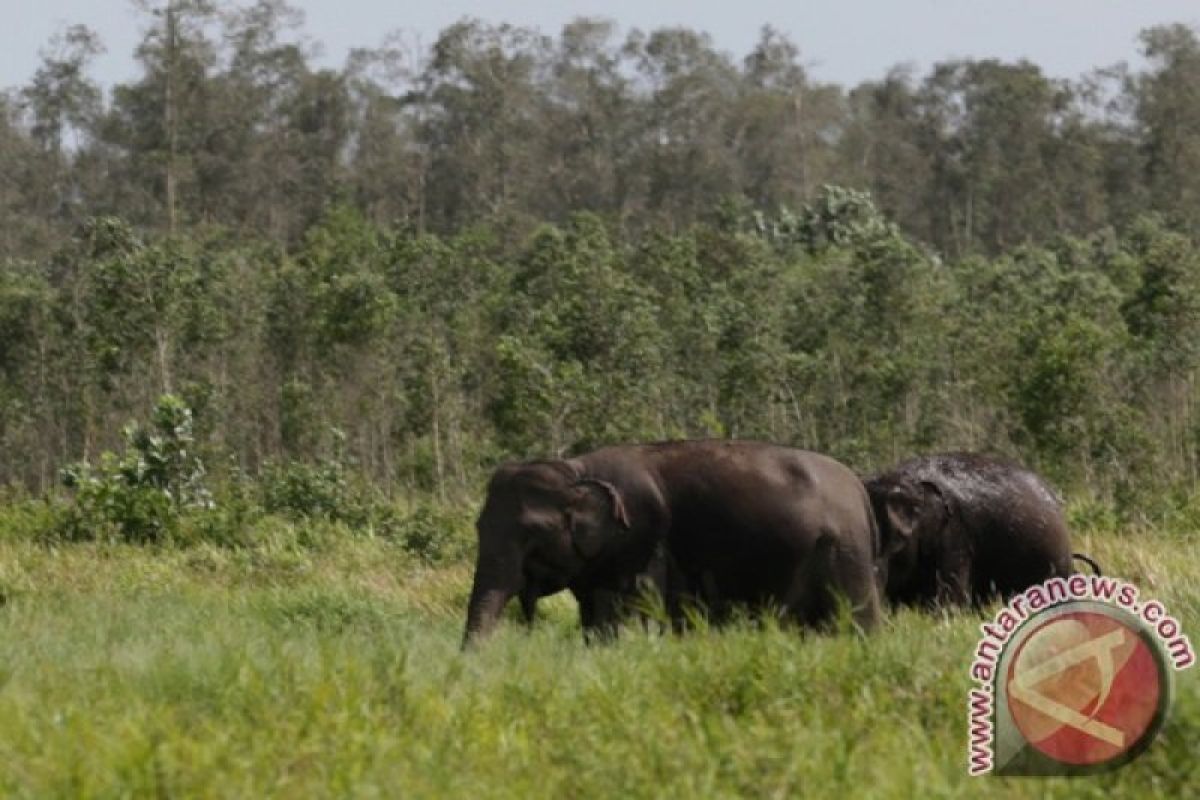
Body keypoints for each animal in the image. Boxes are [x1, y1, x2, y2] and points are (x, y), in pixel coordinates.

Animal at [458, 438, 883, 642]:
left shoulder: (643, 540)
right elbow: (594, 616)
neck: (577, 469)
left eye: (532, 534)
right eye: (477, 527)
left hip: (844, 552)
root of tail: (860, 491)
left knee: (856, 618)